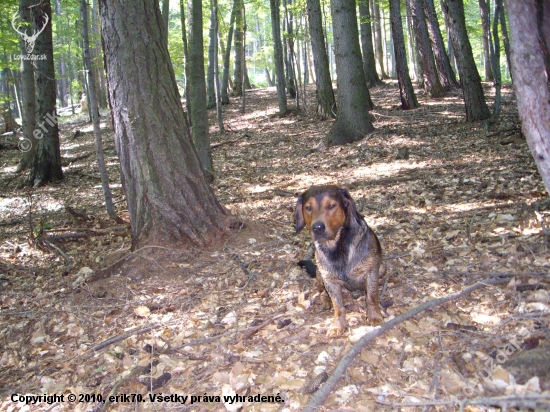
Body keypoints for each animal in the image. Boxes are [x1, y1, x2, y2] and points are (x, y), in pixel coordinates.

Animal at [298, 185, 384, 336]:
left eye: (331, 205)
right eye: (308, 208)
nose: (317, 227)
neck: (337, 247)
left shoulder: (372, 271)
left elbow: (372, 297)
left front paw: (374, 316)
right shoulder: (329, 280)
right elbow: (338, 306)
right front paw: (338, 325)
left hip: (382, 268)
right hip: (320, 274)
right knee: (322, 292)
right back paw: (325, 301)